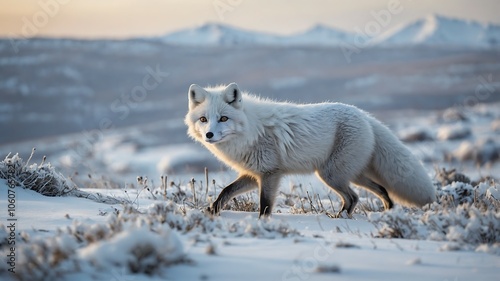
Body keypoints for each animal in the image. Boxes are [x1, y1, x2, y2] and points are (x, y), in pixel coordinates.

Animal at [184, 82, 434, 215]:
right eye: (204, 119)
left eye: (224, 118)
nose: (209, 135)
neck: (250, 129)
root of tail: (364, 115)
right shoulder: (253, 174)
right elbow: (225, 192)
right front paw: (212, 212)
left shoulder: (270, 174)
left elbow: (265, 206)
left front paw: (262, 226)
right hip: (352, 174)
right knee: (380, 189)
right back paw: (388, 211)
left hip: (331, 175)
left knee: (353, 198)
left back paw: (341, 218)